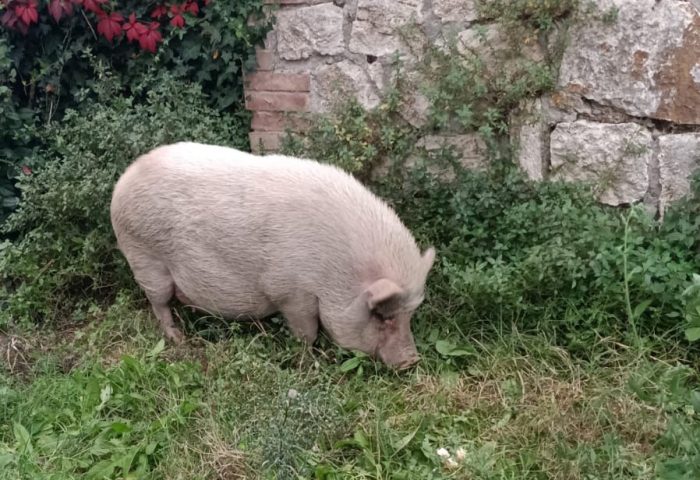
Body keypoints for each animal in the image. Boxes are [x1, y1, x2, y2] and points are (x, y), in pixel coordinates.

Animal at [110, 142, 435, 369]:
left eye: (409, 315)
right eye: (381, 315)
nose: (411, 361)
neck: (334, 270)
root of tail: (124, 179)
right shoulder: (291, 292)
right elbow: (307, 332)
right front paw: (310, 361)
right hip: (144, 257)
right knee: (159, 303)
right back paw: (178, 338)